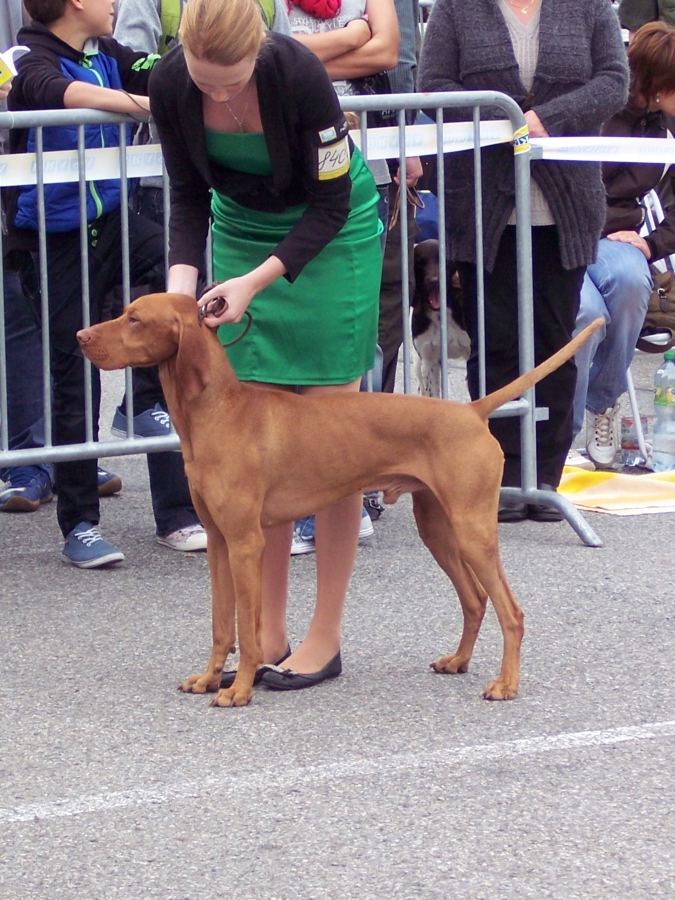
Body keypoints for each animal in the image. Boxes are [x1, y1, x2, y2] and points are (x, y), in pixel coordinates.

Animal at [77, 294, 601, 708]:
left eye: (134, 319)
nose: (82, 335)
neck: (220, 411)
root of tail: (471, 410)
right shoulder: (219, 543)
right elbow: (221, 624)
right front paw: (209, 678)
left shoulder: (246, 542)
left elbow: (247, 629)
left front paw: (239, 690)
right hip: (437, 527)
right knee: (475, 600)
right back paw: (458, 660)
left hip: (473, 530)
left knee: (511, 611)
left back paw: (505, 685)